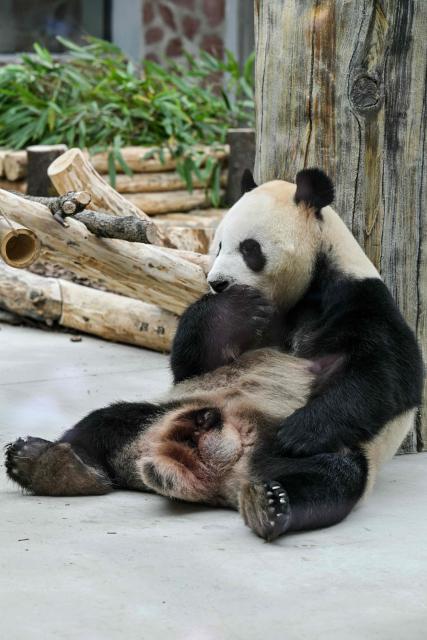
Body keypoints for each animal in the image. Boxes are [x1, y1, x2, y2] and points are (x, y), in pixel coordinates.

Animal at [5, 169, 423, 542]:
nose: (218, 282)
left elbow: (389, 376)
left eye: (250, 248)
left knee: (331, 476)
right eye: (218, 245)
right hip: (162, 413)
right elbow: (191, 364)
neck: (298, 294)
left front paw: (300, 430)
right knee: (105, 422)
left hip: (319, 454)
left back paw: (270, 503)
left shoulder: (357, 297)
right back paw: (47, 463)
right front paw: (234, 307)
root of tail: (222, 475)